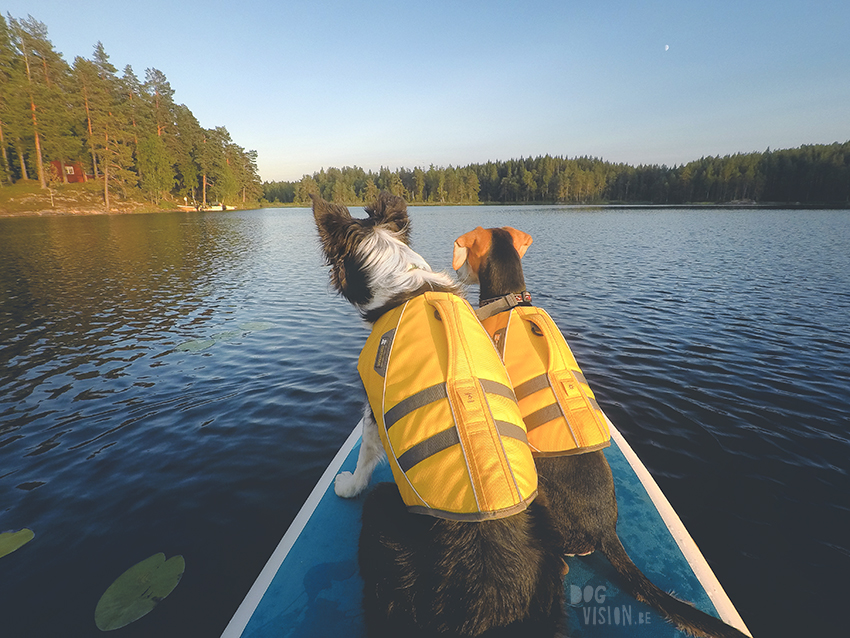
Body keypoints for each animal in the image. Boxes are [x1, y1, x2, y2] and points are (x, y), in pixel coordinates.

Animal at [310, 195, 564, 638]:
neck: (403, 282)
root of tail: (491, 606)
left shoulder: (374, 404)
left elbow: (365, 452)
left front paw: (349, 484)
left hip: (383, 516)